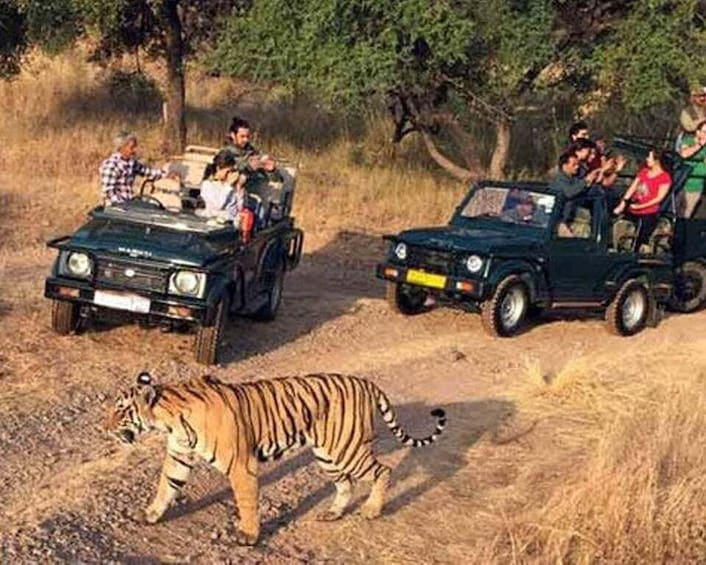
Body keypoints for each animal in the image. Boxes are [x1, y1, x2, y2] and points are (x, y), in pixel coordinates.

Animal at [105, 371, 447, 546]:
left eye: (121, 410)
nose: (105, 427)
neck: (169, 419)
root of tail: (366, 382)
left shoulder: (240, 466)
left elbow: (246, 502)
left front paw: (248, 535)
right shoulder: (179, 456)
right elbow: (166, 487)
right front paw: (150, 515)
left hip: (347, 450)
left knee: (383, 471)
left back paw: (372, 511)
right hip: (328, 455)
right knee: (346, 483)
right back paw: (333, 513)